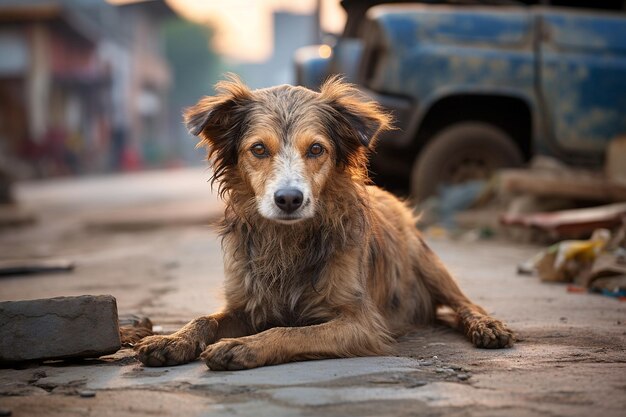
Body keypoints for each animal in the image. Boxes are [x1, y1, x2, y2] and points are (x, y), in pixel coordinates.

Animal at [133, 74, 512, 368]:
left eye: (316, 149)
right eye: (258, 149)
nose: (289, 199)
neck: (289, 239)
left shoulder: (361, 322)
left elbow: (291, 331)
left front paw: (243, 347)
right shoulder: (246, 303)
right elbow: (203, 319)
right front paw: (172, 340)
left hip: (427, 261)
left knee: (464, 303)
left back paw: (486, 325)